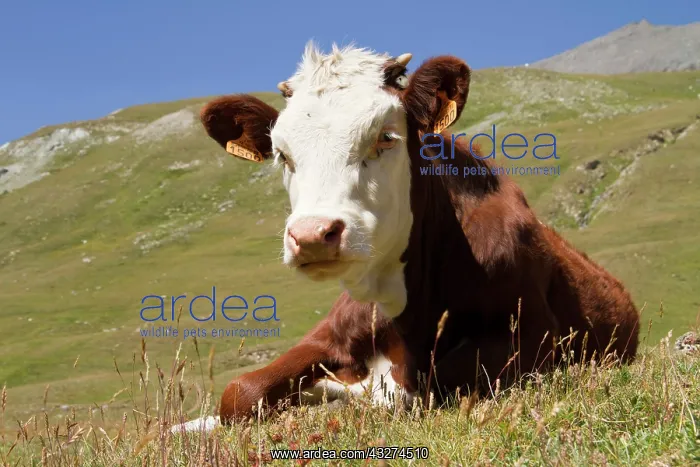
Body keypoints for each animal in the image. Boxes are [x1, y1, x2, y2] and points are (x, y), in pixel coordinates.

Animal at [195, 42, 640, 427]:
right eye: (282, 154)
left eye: (385, 137)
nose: (312, 235)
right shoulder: (331, 334)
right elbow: (240, 391)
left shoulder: (535, 334)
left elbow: (424, 386)